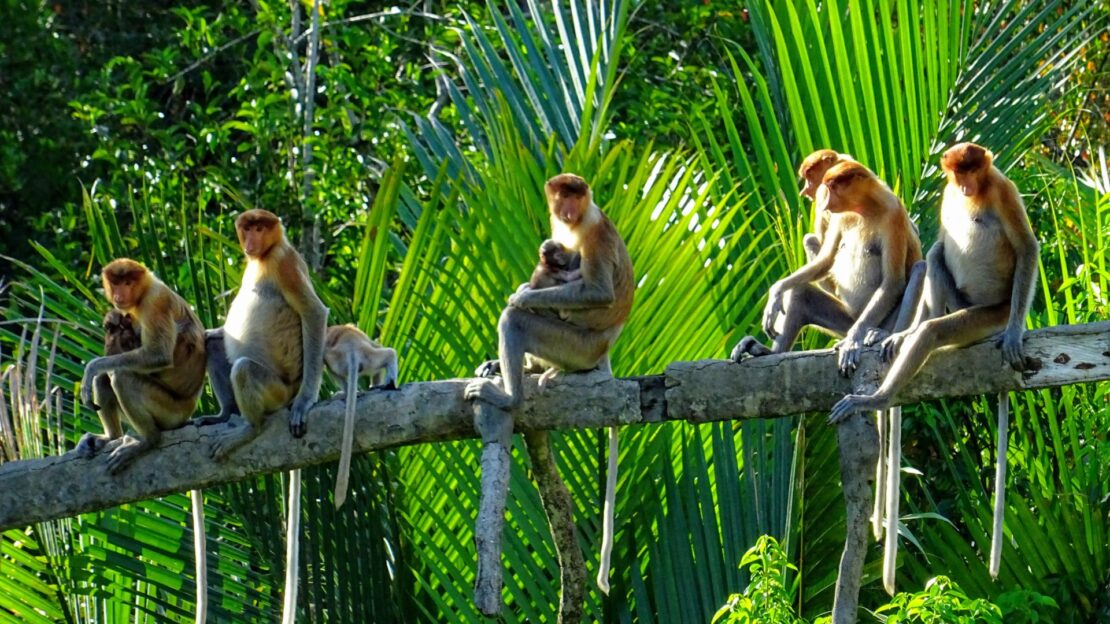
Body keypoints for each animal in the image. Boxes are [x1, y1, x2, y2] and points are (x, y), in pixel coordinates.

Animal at [203, 209, 328, 623]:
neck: (263, 258)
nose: (251, 241)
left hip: (273, 388)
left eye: (261, 227)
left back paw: (248, 427)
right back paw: (224, 414)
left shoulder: (284, 263)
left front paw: (306, 403)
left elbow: (314, 313)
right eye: (247, 228)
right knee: (213, 342)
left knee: (243, 368)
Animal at [464, 173, 634, 595]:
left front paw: (521, 294)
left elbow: (596, 291)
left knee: (518, 321)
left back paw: (509, 395)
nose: (568, 210)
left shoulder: (594, 232)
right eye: (561, 198)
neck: (579, 222)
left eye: (576, 196)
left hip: (574, 345)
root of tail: (603, 352)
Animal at [830, 143, 1038, 584]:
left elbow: (1027, 248)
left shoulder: (1003, 190)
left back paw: (879, 394)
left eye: (973, 171)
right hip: (961, 302)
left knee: (935, 331)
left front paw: (1016, 335)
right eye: (957, 175)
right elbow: (941, 243)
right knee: (938, 254)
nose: (964, 186)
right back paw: (901, 336)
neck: (975, 194)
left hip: (985, 315)